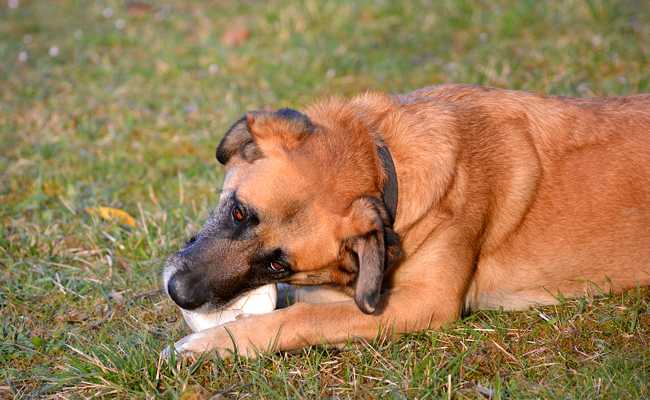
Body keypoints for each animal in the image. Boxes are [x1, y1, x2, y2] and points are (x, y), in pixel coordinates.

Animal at [161, 83, 648, 356]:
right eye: (238, 211)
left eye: (279, 264)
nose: (177, 292)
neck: (383, 162)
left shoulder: (425, 303)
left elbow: (300, 317)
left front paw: (213, 343)